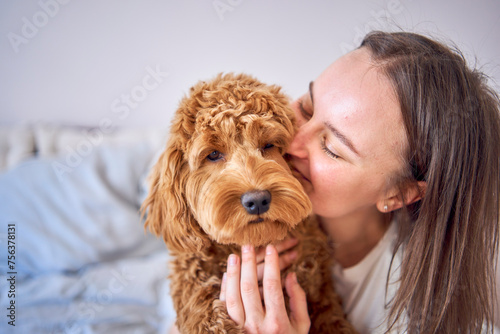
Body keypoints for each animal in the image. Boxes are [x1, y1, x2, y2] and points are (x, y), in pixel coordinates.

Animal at [143, 73, 358, 334]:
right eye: (213, 154)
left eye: (268, 145)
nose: (257, 200)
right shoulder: (190, 271)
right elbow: (200, 307)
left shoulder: (320, 286)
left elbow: (331, 318)